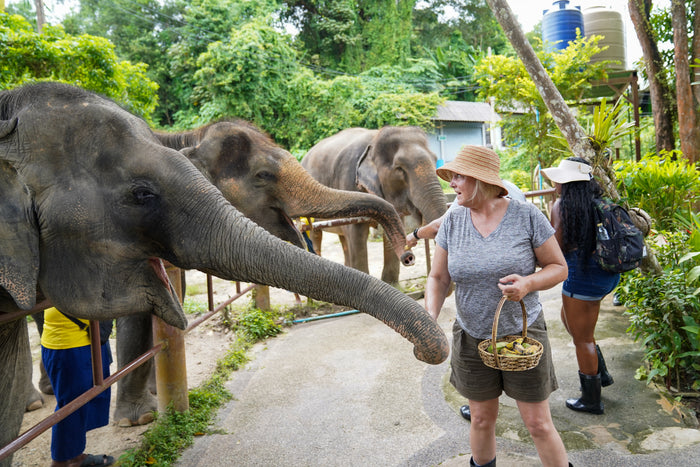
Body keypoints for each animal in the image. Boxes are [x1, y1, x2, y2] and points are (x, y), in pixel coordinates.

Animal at [301, 126, 448, 284]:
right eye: (399, 168)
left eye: (435, 161)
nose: (409, 257)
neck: (374, 137)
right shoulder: (348, 181)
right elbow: (357, 235)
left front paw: (392, 285)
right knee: (317, 235)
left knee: (343, 239)